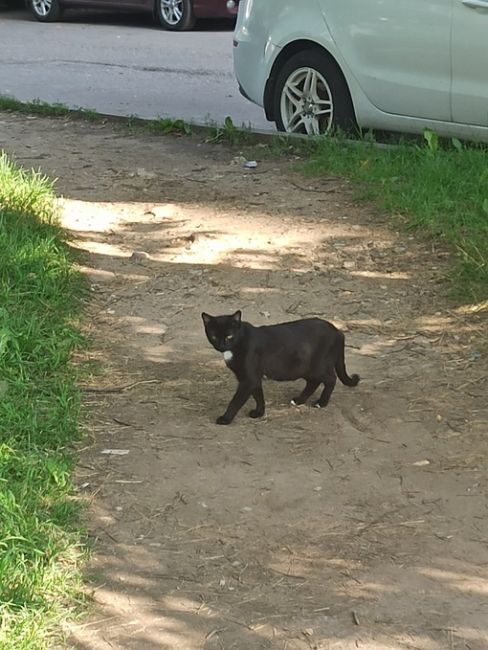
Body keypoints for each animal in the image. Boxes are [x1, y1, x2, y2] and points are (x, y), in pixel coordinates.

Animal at [201, 310, 358, 426]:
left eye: (229, 336)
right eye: (214, 336)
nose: (221, 345)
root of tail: (338, 331)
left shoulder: (248, 379)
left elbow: (236, 401)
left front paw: (225, 418)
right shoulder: (254, 377)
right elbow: (258, 395)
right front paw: (259, 412)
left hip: (318, 366)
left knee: (331, 379)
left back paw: (321, 403)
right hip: (304, 368)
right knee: (313, 382)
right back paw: (299, 400)